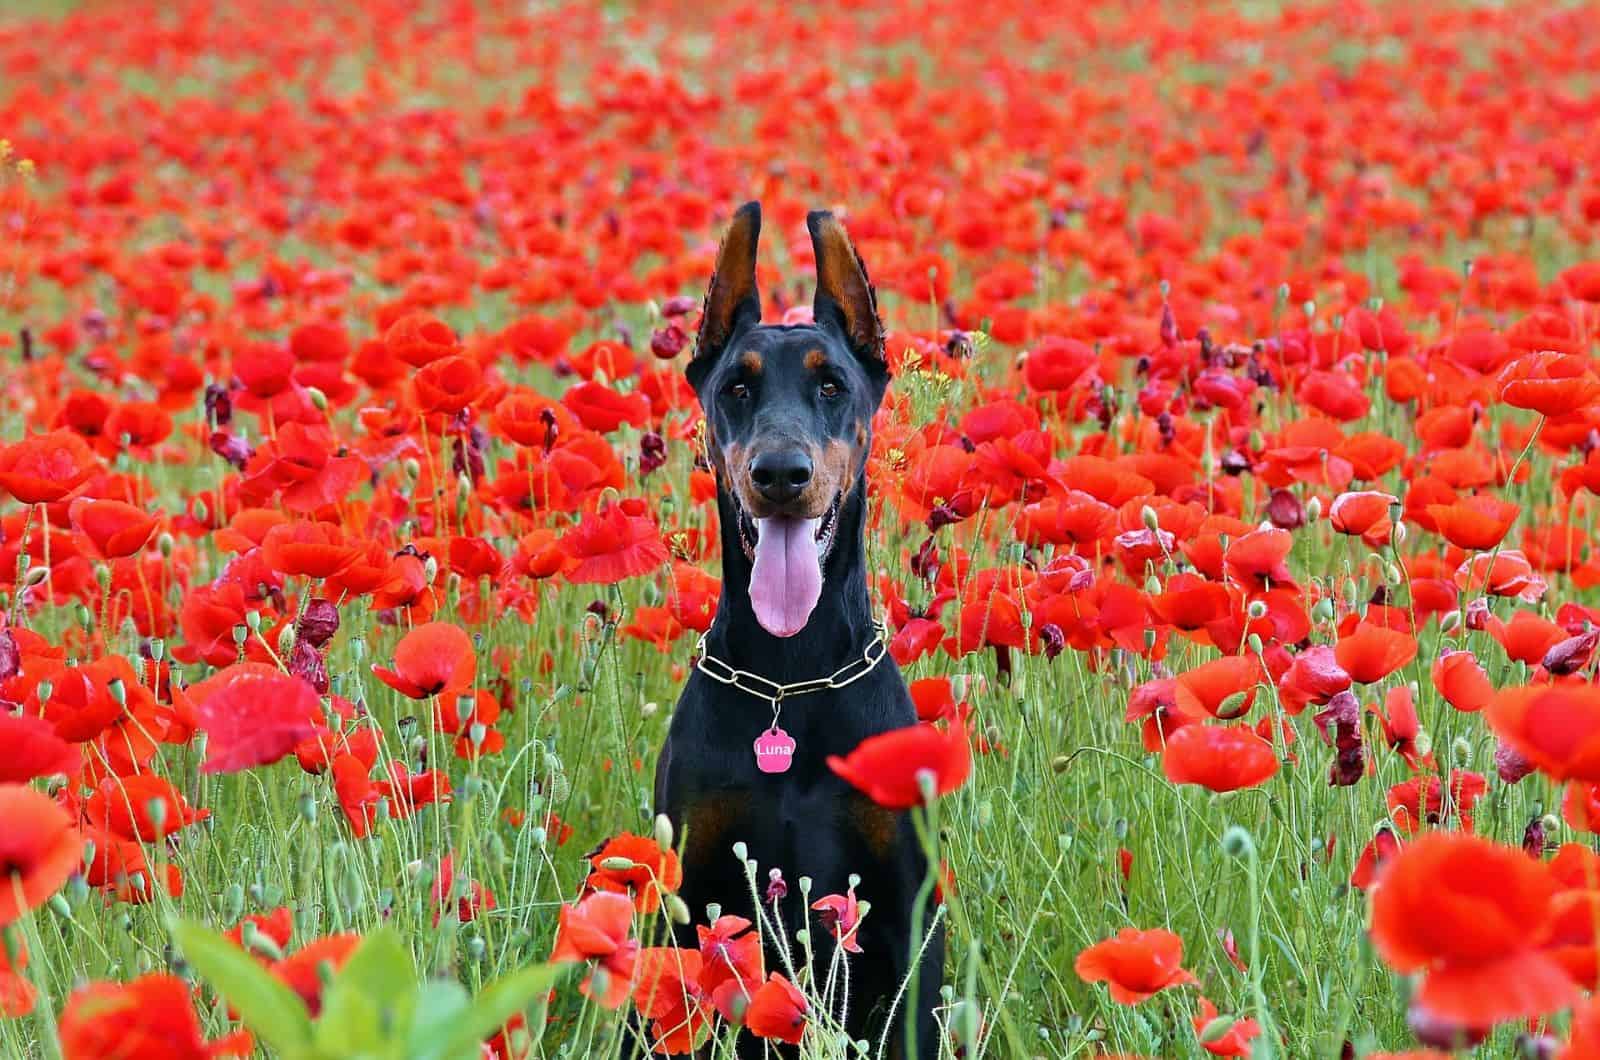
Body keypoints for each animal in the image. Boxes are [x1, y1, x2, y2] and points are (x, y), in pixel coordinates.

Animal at [652, 203, 940, 1056]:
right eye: (737, 386)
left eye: (832, 383)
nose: (781, 474)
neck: (791, 674)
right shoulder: (691, 897)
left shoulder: (906, 912)